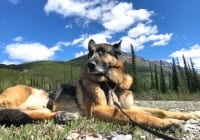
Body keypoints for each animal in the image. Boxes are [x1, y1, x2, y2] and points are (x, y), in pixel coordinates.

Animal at [0, 38, 200, 129]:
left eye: (103, 52)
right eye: (90, 54)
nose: (90, 64)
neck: (111, 84)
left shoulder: (125, 105)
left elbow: (159, 110)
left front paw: (188, 114)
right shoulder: (98, 109)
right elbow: (138, 115)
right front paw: (168, 123)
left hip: (38, 106)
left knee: (31, 114)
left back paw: (63, 116)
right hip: (18, 95)